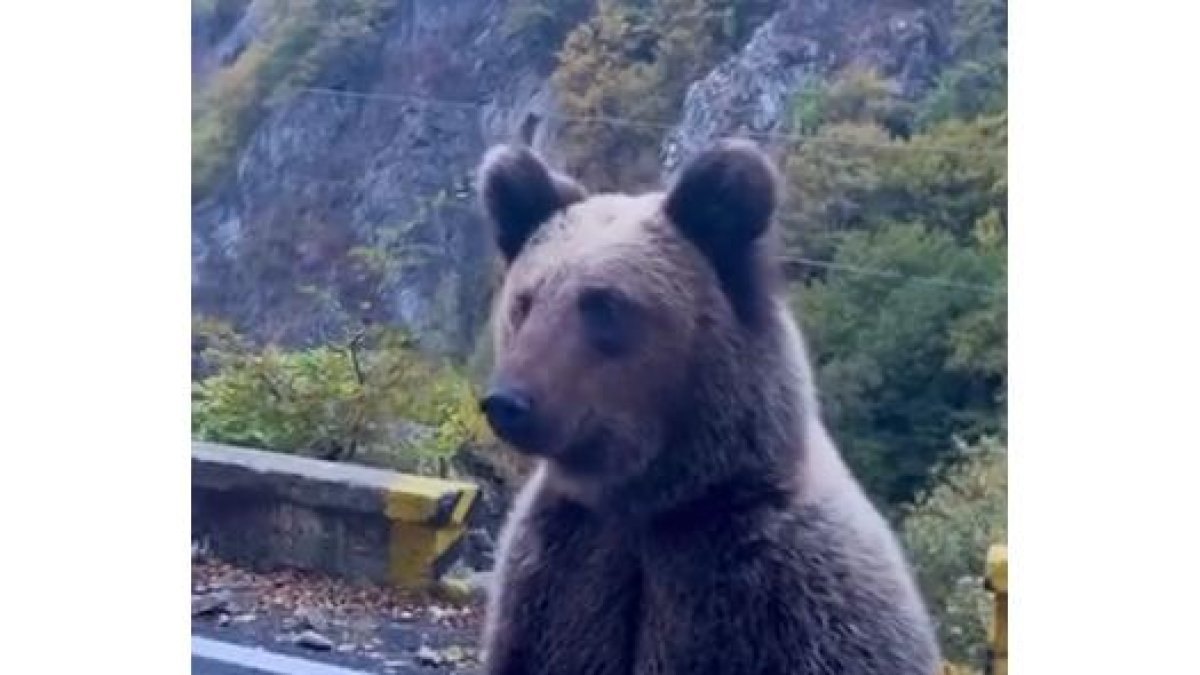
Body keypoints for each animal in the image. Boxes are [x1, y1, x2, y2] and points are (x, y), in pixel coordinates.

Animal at [473, 139, 940, 675]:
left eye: (604, 305)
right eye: (525, 301)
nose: (507, 401)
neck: (650, 503)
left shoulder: (781, 598)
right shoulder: (559, 576)